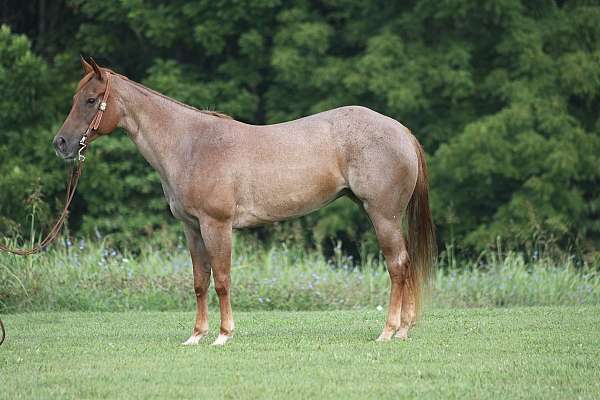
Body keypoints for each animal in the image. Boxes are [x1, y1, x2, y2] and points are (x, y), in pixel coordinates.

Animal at [52, 57, 436, 346]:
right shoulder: (192, 229)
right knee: (405, 265)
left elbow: (222, 279)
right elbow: (200, 282)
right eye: (75, 97)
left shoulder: (217, 226)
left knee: (397, 265)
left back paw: (389, 331)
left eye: (90, 99)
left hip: (382, 215)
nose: (62, 144)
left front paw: (223, 335)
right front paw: (196, 336)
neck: (192, 145)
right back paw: (404, 329)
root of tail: (401, 131)